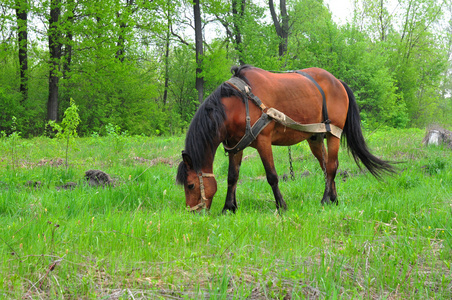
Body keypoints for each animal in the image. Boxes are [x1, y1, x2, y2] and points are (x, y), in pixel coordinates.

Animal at [175, 65, 394, 212]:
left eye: (191, 185)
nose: (193, 213)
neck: (237, 104)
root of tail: (338, 82)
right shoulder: (236, 146)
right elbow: (232, 177)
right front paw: (229, 207)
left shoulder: (263, 142)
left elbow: (272, 176)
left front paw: (281, 206)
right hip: (315, 137)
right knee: (325, 166)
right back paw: (334, 198)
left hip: (333, 134)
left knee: (332, 167)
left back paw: (325, 200)